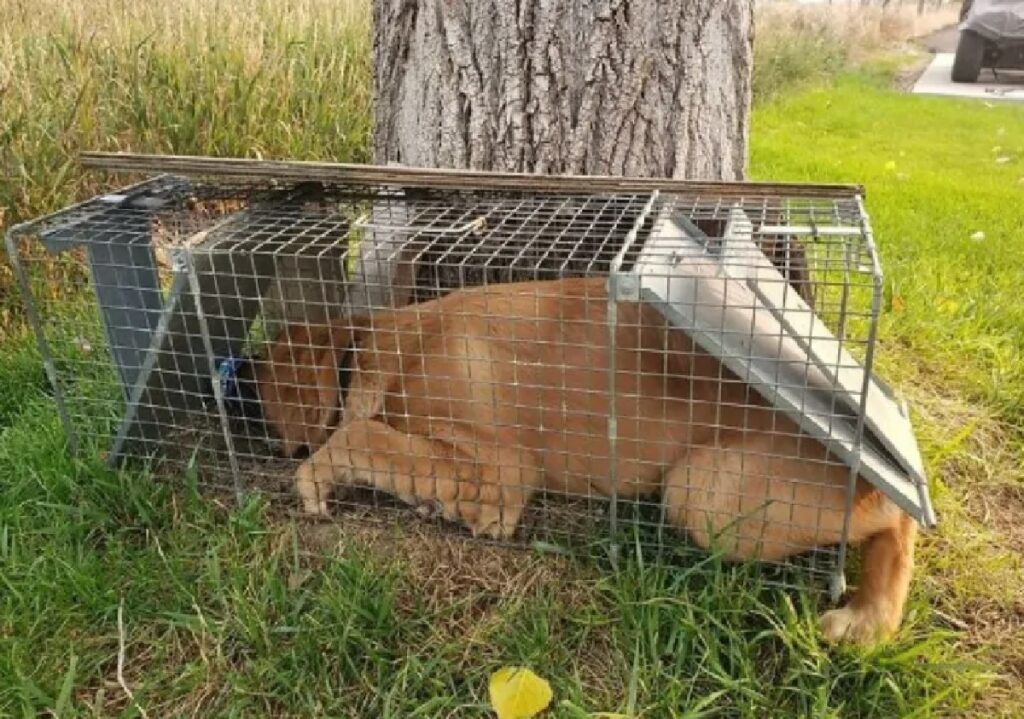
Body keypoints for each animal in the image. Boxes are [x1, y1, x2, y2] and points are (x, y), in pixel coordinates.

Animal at [243, 278, 917, 643]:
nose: (274, 446)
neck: (393, 347)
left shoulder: (503, 468)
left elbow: (366, 437)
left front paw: (317, 475)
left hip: (707, 494)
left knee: (894, 515)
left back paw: (867, 617)